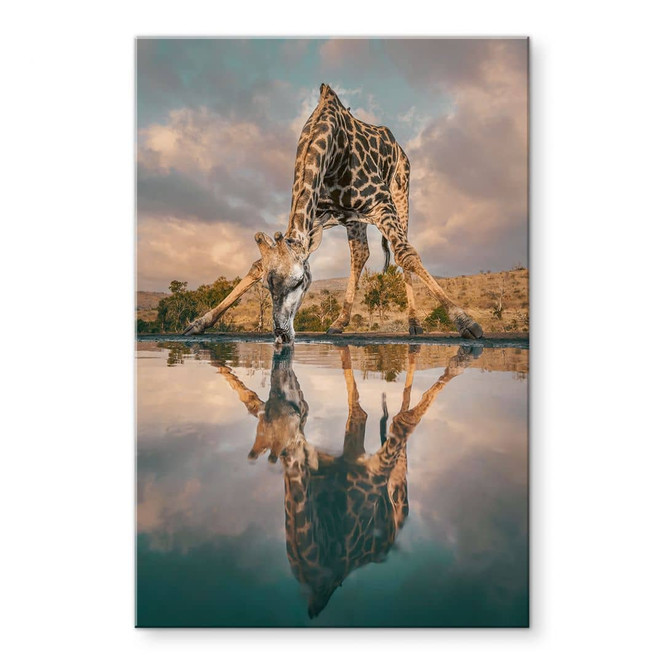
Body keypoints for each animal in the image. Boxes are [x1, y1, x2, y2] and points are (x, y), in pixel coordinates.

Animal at [184, 84, 483, 343]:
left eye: (299, 281)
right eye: (268, 288)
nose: (281, 334)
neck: (332, 151)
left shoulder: (381, 202)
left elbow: (406, 254)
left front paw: (466, 323)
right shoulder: (315, 218)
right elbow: (257, 265)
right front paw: (199, 322)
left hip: (401, 193)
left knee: (401, 251)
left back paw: (413, 323)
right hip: (353, 219)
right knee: (360, 254)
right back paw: (339, 322)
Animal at [216, 343, 481, 617]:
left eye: (293, 406)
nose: (285, 377)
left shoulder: (373, 469)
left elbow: (400, 420)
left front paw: (460, 361)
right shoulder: (350, 453)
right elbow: (361, 406)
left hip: (398, 486)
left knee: (401, 428)